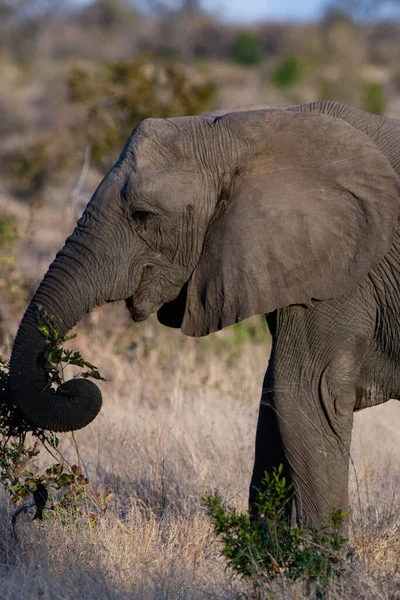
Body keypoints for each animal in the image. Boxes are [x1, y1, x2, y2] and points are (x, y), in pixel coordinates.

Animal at [7, 101, 400, 528]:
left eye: (143, 215)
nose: (72, 385)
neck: (251, 129)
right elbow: (274, 399)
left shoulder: (344, 273)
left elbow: (305, 391)